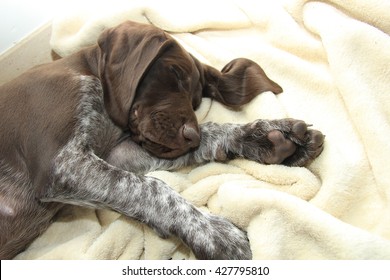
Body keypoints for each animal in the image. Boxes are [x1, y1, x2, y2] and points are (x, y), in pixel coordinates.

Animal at [0, 20, 322, 260]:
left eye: (197, 100)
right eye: (174, 74)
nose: (191, 138)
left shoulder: (117, 155)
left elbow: (212, 130)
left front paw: (267, 137)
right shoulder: (62, 164)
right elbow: (153, 187)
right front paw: (212, 233)